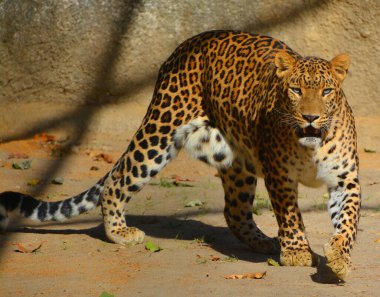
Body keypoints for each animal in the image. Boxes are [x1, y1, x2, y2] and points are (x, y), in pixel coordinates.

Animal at [0, 30, 360, 280]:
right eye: (295, 90)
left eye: (326, 91)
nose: (310, 117)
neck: (311, 145)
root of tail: (185, 45)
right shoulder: (279, 174)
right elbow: (291, 217)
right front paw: (297, 251)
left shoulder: (346, 179)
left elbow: (348, 222)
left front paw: (340, 259)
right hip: (161, 131)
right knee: (117, 179)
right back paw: (119, 233)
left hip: (235, 160)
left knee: (234, 210)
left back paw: (261, 241)